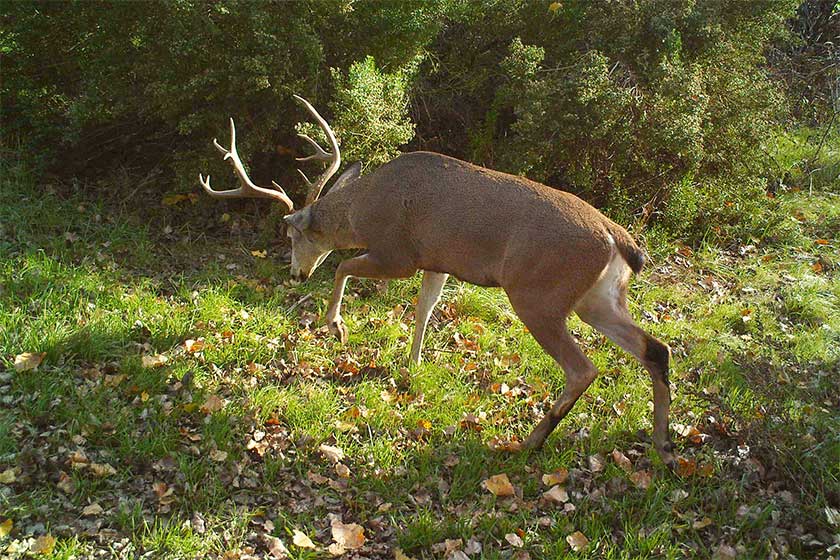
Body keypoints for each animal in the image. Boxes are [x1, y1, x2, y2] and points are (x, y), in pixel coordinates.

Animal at [199, 95, 676, 468]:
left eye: (292, 235)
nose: (296, 273)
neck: (362, 210)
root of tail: (616, 237)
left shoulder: (398, 253)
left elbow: (342, 268)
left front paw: (336, 326)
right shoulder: (438, 261)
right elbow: (424, 307)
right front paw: (411, 364)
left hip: (538, 293)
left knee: (583, 368)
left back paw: (529, 442)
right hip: (597, 298)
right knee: (656, 348)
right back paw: (663, 443)